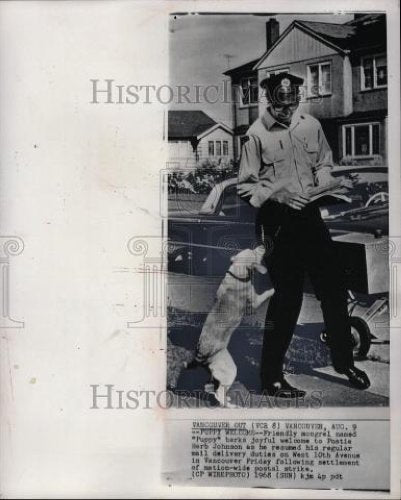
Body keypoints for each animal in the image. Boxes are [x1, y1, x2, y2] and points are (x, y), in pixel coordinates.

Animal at [186, 246, 274, 406]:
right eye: (255, 253)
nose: (262, 245)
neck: (236, 275)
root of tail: (201, 355)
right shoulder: (254, 304)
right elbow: (265, 294)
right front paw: (273, 290)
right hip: (230, 370)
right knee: (218, 393)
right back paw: (230, 405)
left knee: (213, 389)